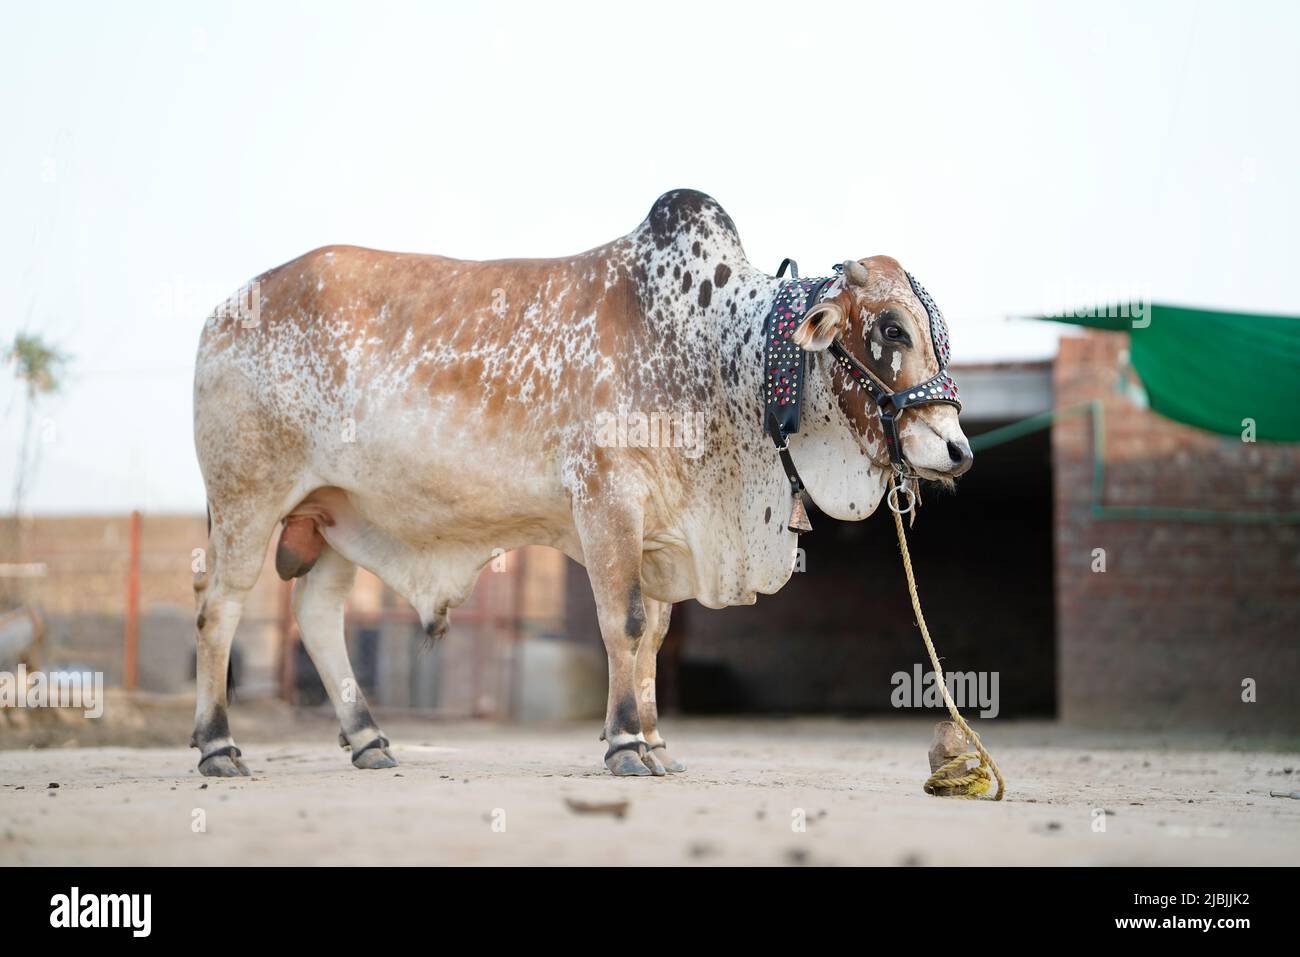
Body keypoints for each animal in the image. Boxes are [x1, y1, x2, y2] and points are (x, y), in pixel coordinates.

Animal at [189, 188, 967, 780]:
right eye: (892, 329)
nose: (957, 447)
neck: (719, 352)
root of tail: (228, 307)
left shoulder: (660, 530)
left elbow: (653, 636)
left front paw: (656, 742)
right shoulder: (608, 504)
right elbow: (623, 622)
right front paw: (625, 745)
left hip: (338, 515)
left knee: (318, 613)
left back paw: (370, 740)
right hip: (247, 497)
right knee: (219, 607)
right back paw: (219, 746)